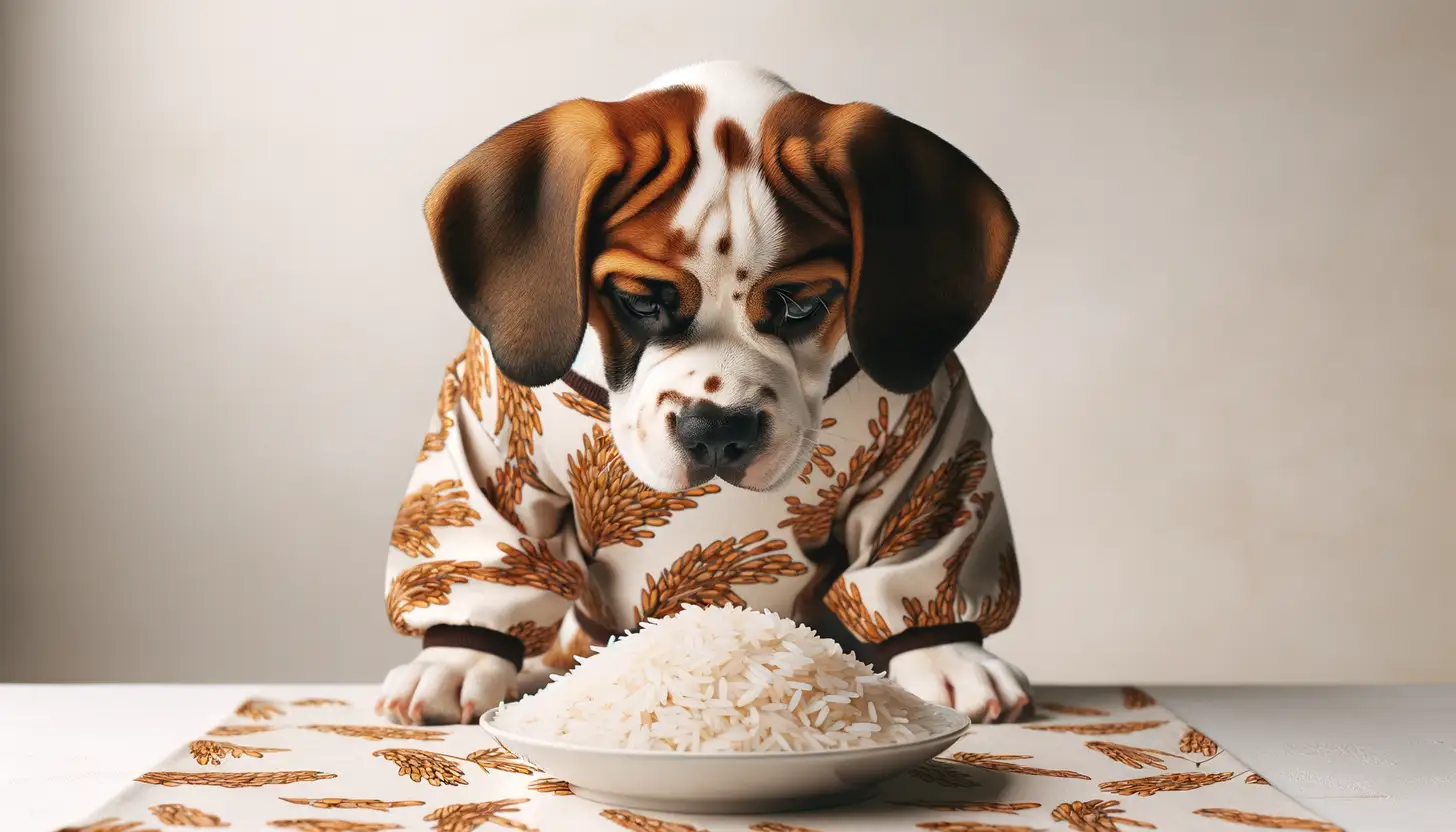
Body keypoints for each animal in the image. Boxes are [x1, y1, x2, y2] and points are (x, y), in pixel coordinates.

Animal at [381, 63, 1030, 728]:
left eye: (802, 305)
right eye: (641, 302)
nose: (717, 429)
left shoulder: (930, 450)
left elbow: (919, 552)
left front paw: (949, 655)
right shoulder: (487, 446)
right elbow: (493, 556)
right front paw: (456, 660)